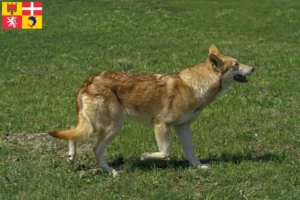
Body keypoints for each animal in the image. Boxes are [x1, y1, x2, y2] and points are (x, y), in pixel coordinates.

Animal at [48, 44, 254, 176]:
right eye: (236, 64)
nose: (253, 67)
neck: (195, 86)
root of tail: (88, 81)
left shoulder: (183, 127)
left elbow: (190, 152)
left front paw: (199, 166)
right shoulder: (161, 125)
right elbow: (165, 152)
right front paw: (145, 156)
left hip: (95, 124)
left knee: (73, 133)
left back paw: (72, 158)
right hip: (112, 127)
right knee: (95, 148)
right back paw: (112, 172)